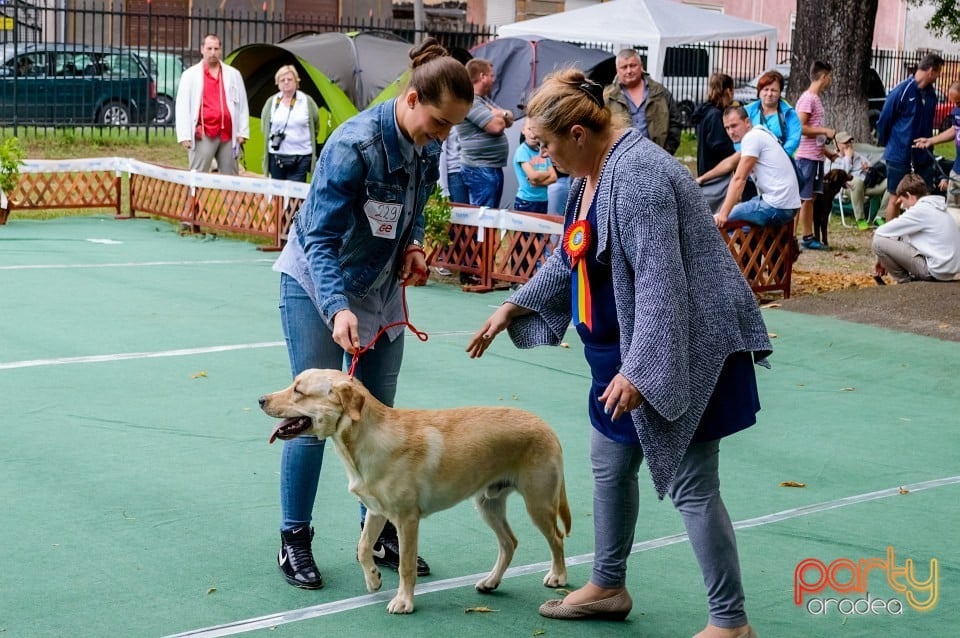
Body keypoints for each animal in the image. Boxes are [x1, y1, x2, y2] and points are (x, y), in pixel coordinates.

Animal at [258, 370, 568, 616]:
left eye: (299, 390)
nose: (261, 400)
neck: (366, 440)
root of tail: (548, 427)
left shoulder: (407, 519)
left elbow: (406, 565)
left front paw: (403, 602)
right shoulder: (375, 511)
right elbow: (363, 547)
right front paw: (373, 579)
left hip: (538, 503)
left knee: (556, 539)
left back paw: (558, 577)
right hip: (488, 504)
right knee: (509, 543)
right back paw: (490, 582)